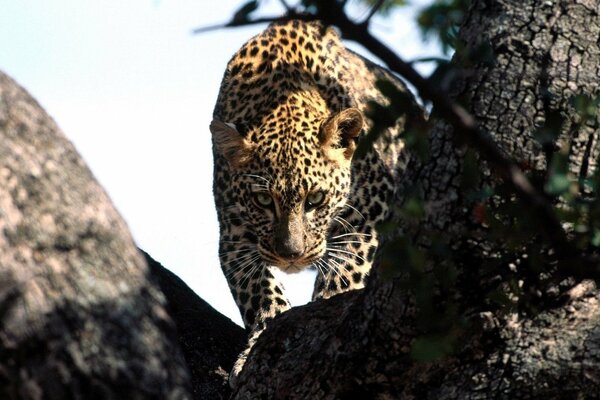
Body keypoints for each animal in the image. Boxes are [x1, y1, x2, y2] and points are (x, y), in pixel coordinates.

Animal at [213, 18, 420, 384]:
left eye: (316, 198)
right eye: (263, 200)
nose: (291, 256)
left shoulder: (369, 214)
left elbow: (344, 273)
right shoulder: (233, 236)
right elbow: (260, 293)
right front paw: (256, 347)